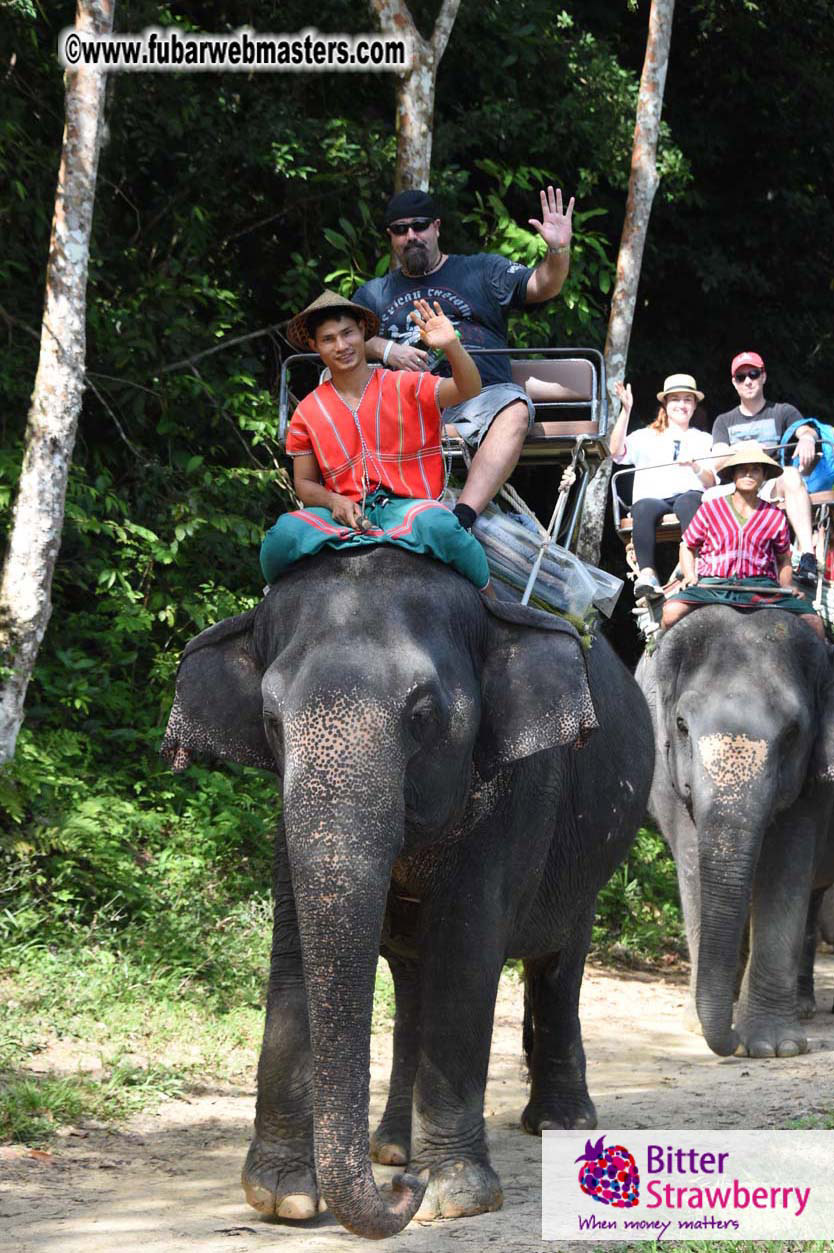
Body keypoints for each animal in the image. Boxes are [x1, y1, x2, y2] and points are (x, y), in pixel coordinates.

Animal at [161, 546, 654, 1239]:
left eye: (423, 718)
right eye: (270, 723)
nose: (403, 1191)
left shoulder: (518, 789)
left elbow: (467, 953)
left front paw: (454, 1193)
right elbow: (295, 952)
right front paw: (283, 1198)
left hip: (590, 859)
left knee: (558, 963)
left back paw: (557, 1124)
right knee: (414, 982)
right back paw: (392, 1149)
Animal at [637, 606, 834, 1059]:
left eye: (793, 732)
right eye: (681, 725)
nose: (732, 1045)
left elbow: (785, 866)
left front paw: (773, 1048)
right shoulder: (666, 774)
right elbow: (693, 863)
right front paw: (699, 1028)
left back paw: (801, 1007)